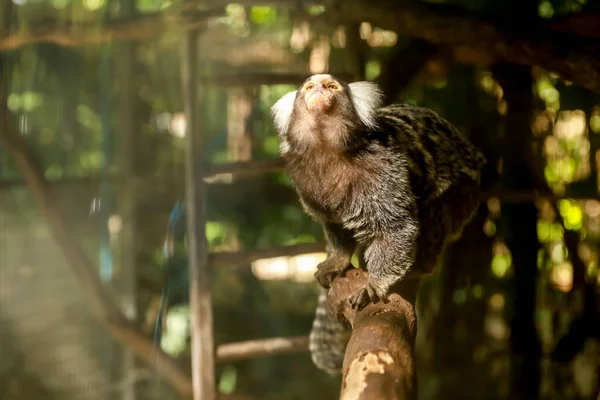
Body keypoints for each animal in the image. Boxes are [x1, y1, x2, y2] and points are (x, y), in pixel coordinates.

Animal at [270, 75, 486, 372]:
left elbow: (397, 226)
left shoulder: (384, 166)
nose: (319, 88)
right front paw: (338, 259)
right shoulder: (306, 181)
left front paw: (374, 284)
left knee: (434, 207)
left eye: (332, 87)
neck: (327, 148)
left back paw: (420, 266)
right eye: (309, 88)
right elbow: (334, 224)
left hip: (464, 195)